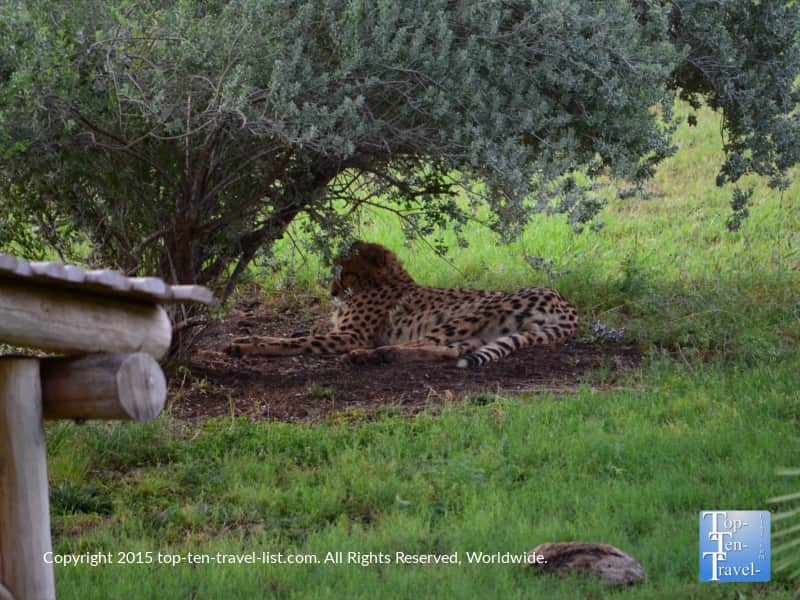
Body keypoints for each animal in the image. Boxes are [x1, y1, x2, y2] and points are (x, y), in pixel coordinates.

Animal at [226, 241, 579, 368]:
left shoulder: (351, 335)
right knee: (451, 351)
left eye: (345, 272)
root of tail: (565, 302)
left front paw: (246, 345)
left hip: (469, 313)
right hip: (482, 333)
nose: (331, 292)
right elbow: (287, 336)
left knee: (423, 342)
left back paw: (372, 356)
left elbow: (293, 342)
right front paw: (242, 340)